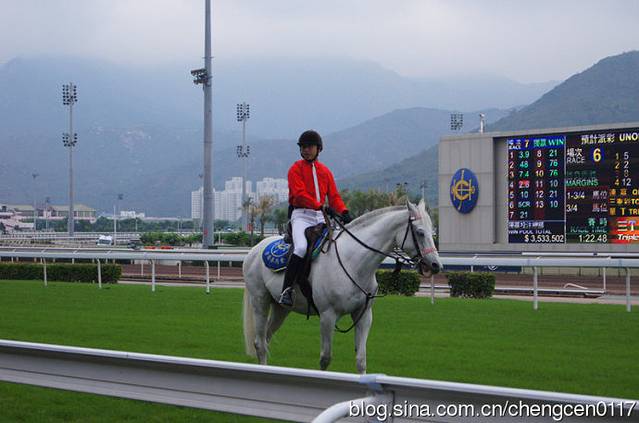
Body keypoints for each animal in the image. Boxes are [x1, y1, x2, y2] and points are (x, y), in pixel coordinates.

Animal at [242, 200, 442, 372]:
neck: (353, 262)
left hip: (281, 308)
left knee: (266, 338)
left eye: (431, 230)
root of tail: (254, 250)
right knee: (260, 343)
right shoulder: (327, 316)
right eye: (420, 232)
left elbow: (361, 360)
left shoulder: (364, 315)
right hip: (260, 302)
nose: (436, 265)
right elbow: (325, 358)